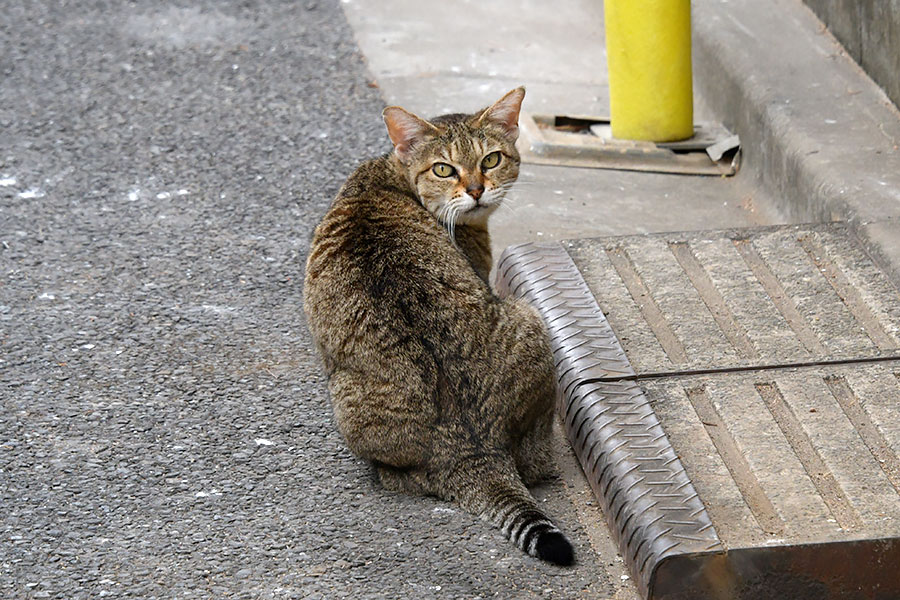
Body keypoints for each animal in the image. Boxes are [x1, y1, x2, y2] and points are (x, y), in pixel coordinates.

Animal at [300, 86, 568, 564]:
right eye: (444, 168)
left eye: (491, 159)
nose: (477, 190)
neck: (390, 176)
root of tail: (470, 447)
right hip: (531, 319)